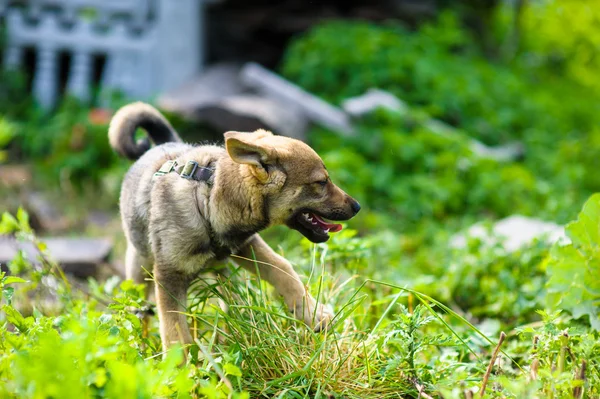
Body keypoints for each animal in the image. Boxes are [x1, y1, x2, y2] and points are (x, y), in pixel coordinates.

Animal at [108, 103, 360, 354]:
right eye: (321, 182)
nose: (357, 207)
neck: (208, 200)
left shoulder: (245, 244)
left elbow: (282, 268)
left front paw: (313, 314)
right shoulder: (169, 276)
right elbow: (176, 332)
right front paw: (181, 364)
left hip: (221, 268)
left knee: (229, 296)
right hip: (140, 268)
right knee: (139, 311)